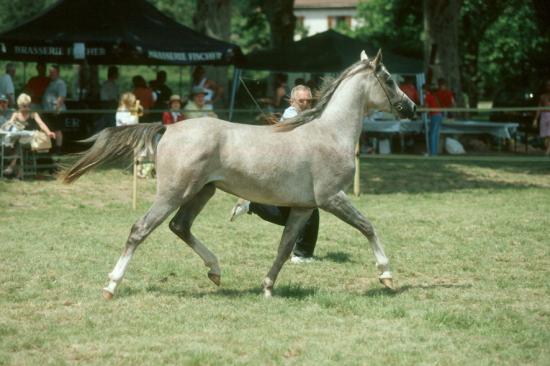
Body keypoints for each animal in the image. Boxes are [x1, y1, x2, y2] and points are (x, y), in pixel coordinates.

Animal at [62, 50, 416, 298]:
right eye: (389, 79)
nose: (411, 108)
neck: (328, 133)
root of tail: (169, 127)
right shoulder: (331, 197)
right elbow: (367, 226)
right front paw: (386, 276)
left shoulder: (304, 207)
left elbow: (285, 246)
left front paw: (268, 287)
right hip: (173, 193)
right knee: (140, 229)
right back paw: (111, 286)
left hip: (203, 191)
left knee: (180, 226)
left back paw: (216, 271)